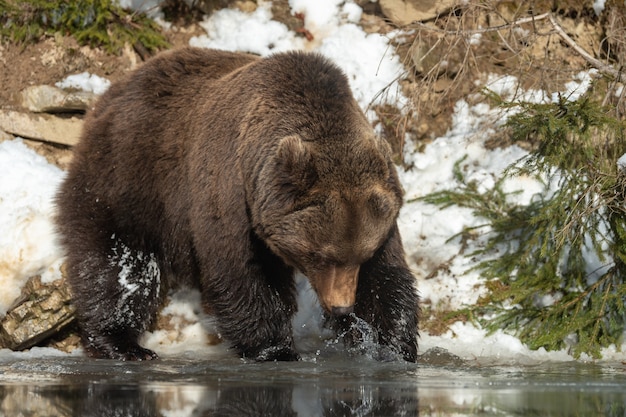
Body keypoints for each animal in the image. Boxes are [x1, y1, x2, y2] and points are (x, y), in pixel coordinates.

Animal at [56, 46, 420, 360]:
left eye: (362, 254)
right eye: (318, 254)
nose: (342, 306)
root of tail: (117, 87)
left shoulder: (379, 207)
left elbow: (387, 276)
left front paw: (390, 345)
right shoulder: (231, 191)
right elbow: (242, 272)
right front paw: (276, 349)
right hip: (130, 175)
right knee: (119, 262)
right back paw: (122, 343)